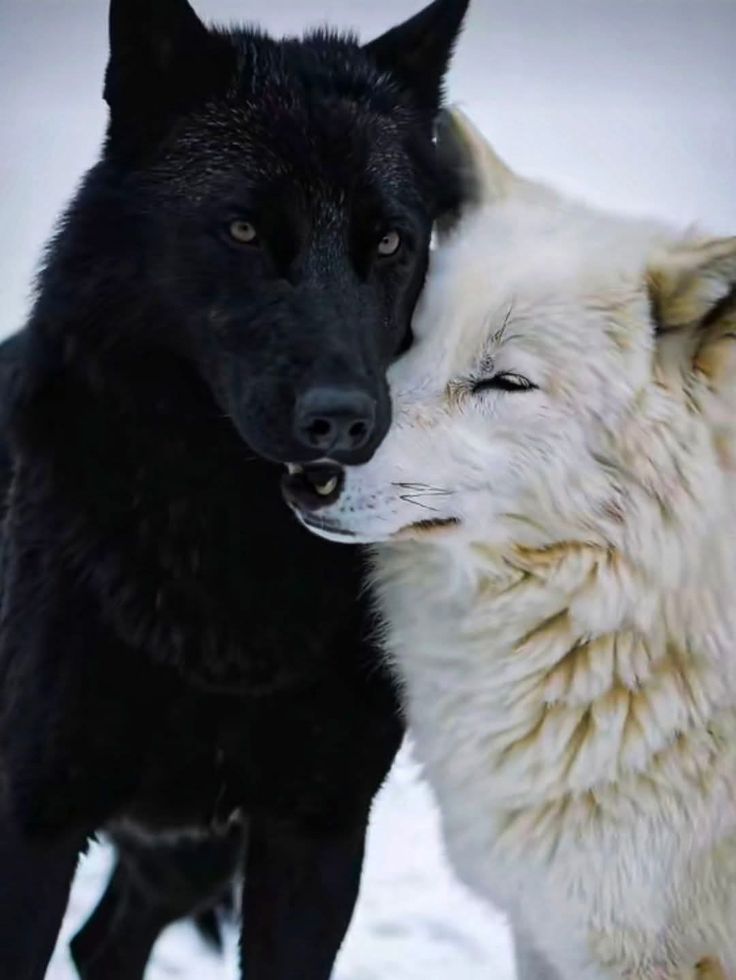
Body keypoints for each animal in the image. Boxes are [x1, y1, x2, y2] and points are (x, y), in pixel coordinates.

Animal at [0, 1, 470, 978]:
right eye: (245, 231)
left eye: (390, 241)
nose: (344, 420)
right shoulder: (32, 820)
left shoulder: (317, 835)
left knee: (106, 940)